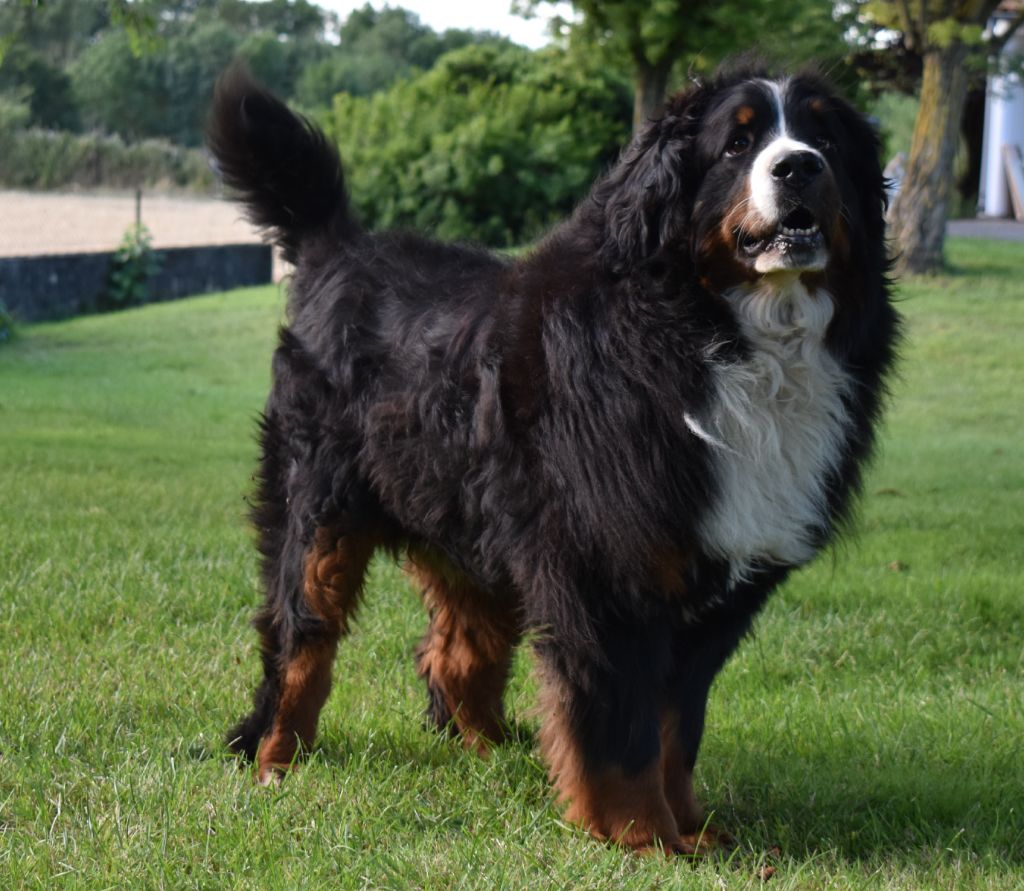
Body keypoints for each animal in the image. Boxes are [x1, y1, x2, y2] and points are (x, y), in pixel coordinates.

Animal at [205, 59, 897, 856]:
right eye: (737, 143)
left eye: (824, 137)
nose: (798, 166)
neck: (713, 335)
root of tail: (340, 248)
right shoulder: (611, 570)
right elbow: (624, 728)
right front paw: (641, 835)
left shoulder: (713, 588)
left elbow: (676, 726)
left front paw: (693, 828)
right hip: (320, 512)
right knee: (299, 641)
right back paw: (276, 759)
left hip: (475, 526)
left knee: (456, 653)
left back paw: (493, 754)